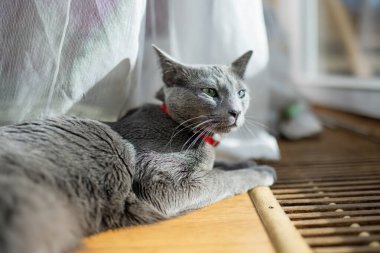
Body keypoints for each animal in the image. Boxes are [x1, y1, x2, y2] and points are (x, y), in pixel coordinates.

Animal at [0, 46, 276, 253]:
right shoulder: (165, 184)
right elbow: (224, 178)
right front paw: (263, 171)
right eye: (210, 92)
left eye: (241, 93)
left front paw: (249, 162)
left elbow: (221, 166)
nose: (236, 112)